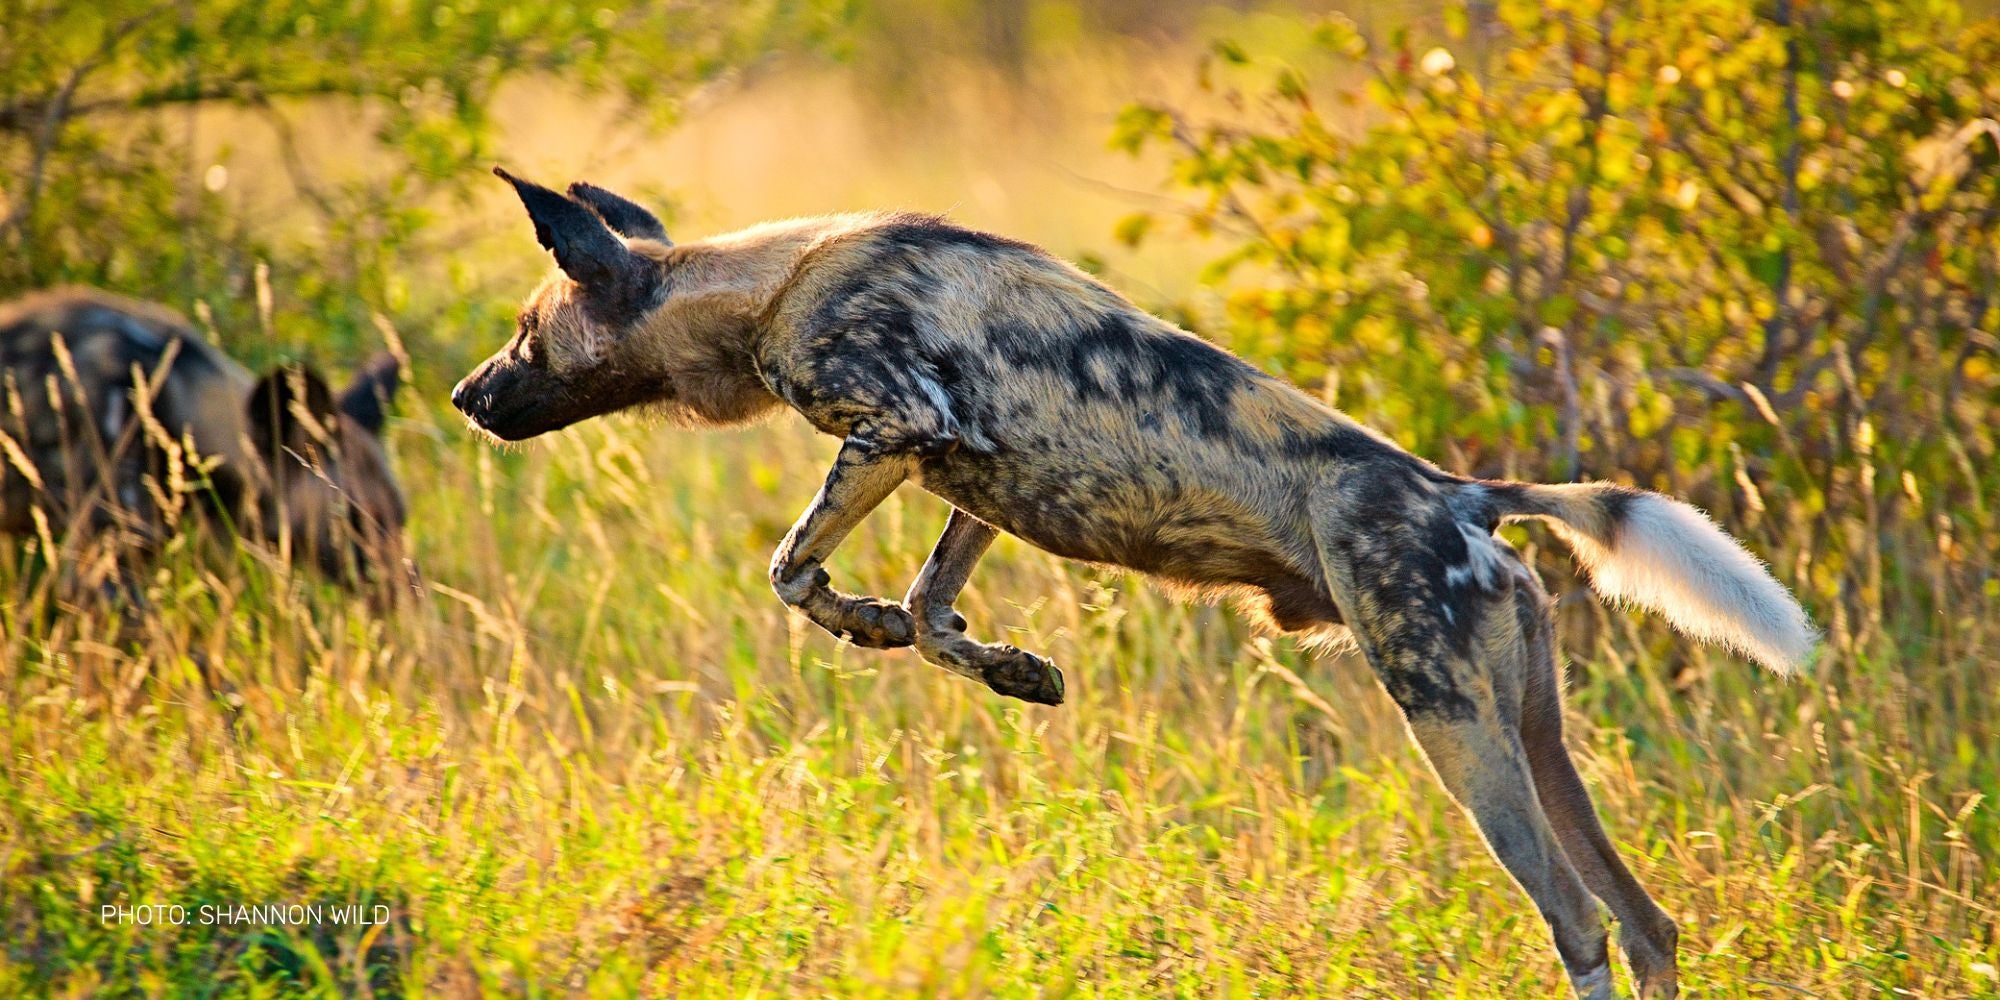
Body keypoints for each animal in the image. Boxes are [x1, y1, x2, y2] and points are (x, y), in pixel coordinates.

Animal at [454, 168, 1816, 996]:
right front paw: (1010, 670)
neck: (766, 284)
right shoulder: (967, 472)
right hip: (1532, 732)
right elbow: (929, 615)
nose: (465, 394)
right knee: (1643, 923)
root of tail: (1461, 495)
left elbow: (795, 573)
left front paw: (858, 621)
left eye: (524, 335)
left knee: (1579, 924)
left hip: (1457, 738)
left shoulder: (898, 425)